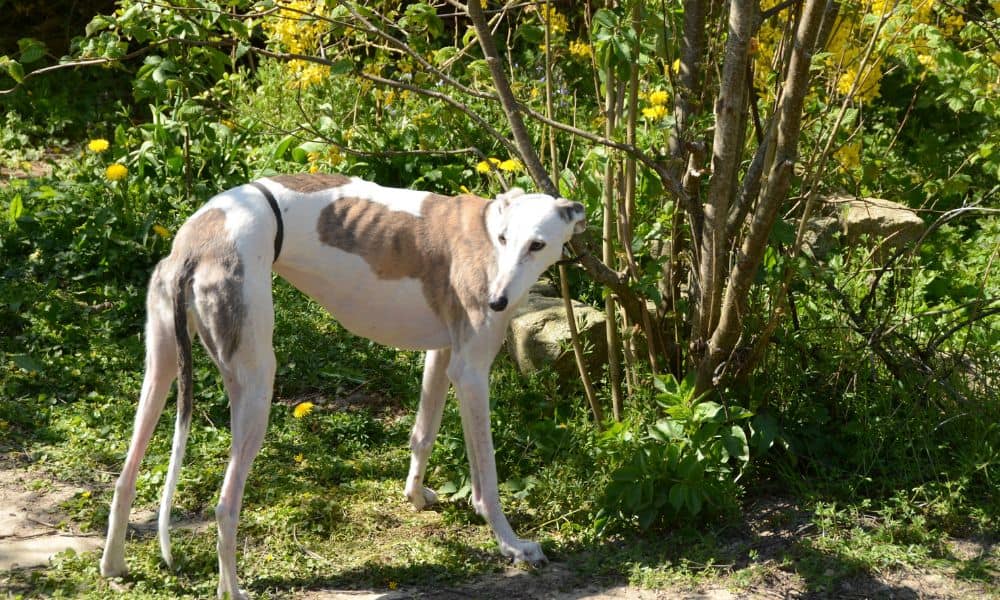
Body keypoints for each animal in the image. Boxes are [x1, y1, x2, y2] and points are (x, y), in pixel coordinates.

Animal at [99, 171, 584, 596]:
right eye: (504, 240)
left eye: (537, 244)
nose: (496, 300)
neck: (485, 226)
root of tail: (196, 244)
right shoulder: (472, 372)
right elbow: (486, 478)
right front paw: (513, 545)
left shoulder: (443, 355)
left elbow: (422, 433)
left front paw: (414, 495)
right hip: (256, 383)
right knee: (225, 504)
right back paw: (231, 589)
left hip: (161, 365)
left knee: (126, 476)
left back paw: (113, 565)